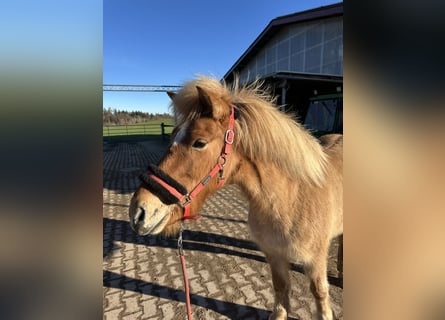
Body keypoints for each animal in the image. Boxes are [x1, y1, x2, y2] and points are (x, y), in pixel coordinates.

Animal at [128, 76, 344, 318]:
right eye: (173, 135)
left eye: (199, 142)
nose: (139, 211)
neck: (290, 199)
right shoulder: (275, 255)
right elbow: (280, 287)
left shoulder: (315, 262)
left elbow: (319, 293)